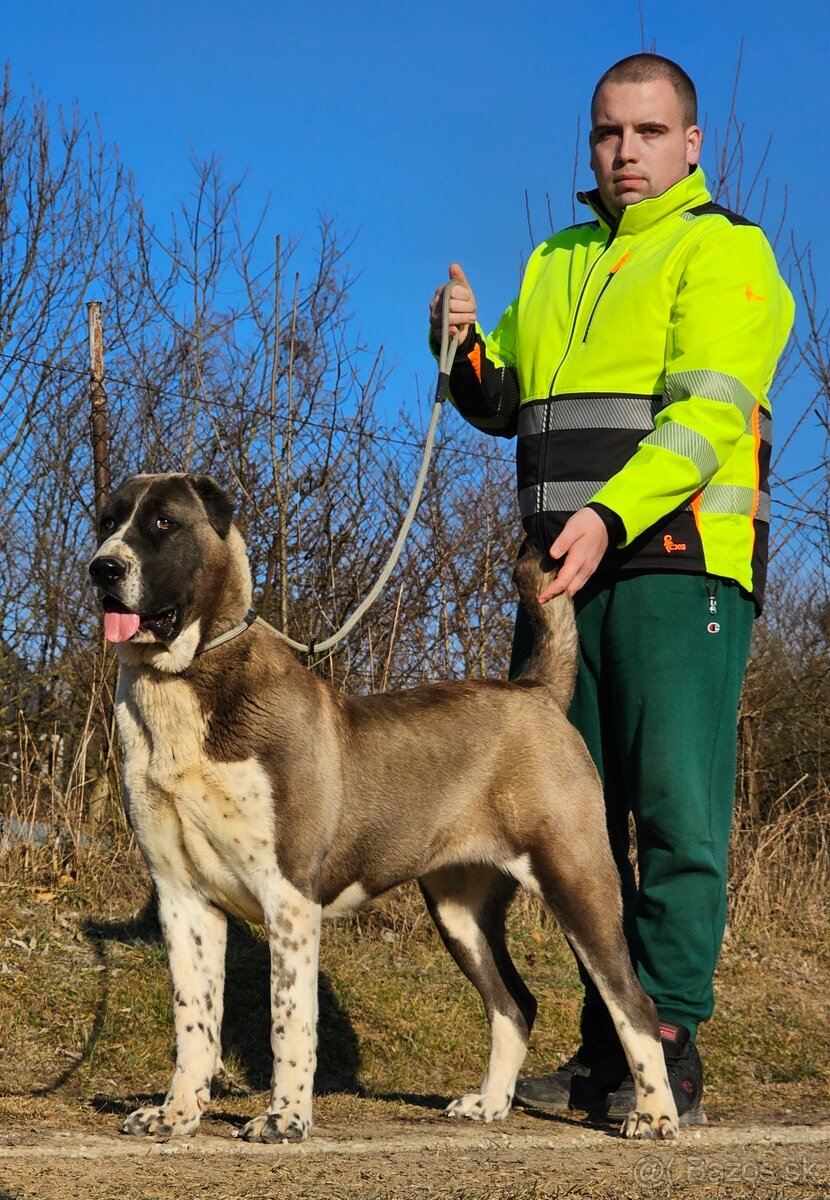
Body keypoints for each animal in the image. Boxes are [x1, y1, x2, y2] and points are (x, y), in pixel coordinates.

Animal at [87, 470, 676, 1142]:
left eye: (163, 522)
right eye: (108, 522)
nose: (102, 567)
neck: (186, 678)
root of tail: (535, 692)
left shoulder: (288, 895)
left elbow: (289, 1020)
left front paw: (285, 1119)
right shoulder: (183, 898)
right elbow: (194, 1019)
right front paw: (177, 1113)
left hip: (575, 879)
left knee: (633, 1002)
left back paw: (655, 1115)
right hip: (459, 911)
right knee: (514, 1003)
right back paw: (489, 1104)